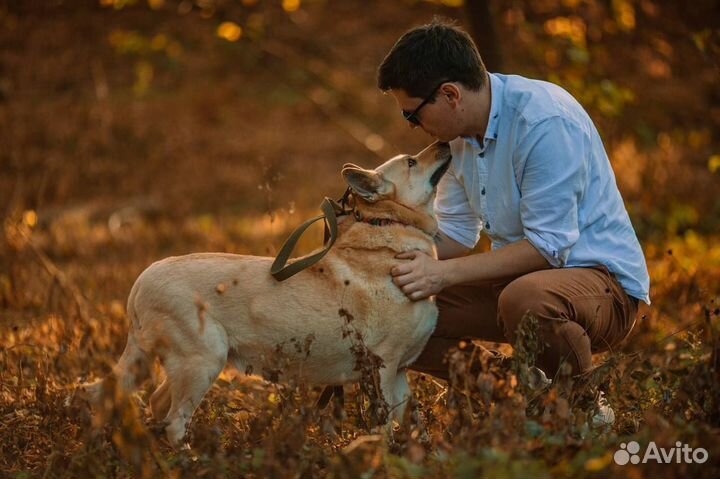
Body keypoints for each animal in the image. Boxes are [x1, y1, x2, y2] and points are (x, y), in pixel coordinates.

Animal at [83, 142, 450, 446]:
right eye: (412, 161)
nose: (446, 142)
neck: (387, 225)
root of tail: (140, 282)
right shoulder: (383, 368)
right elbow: (385, 427)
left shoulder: (399, 374)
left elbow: (416, 423)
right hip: (202, 360)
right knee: (174, 421)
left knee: (154, 404)